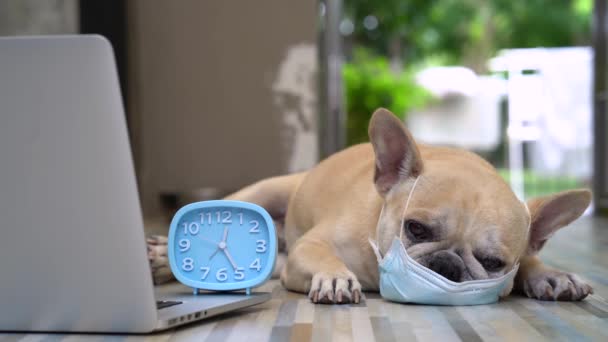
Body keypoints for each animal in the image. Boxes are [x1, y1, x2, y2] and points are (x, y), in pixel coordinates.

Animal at [148, 107, 592, 304]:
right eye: (415, 228)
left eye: (493, 262)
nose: (447, 265)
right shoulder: (313, 245)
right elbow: (323, 257)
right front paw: (334, 277)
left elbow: (531, 262)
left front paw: (551, 275)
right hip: (257, 195)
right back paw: (158, 257)